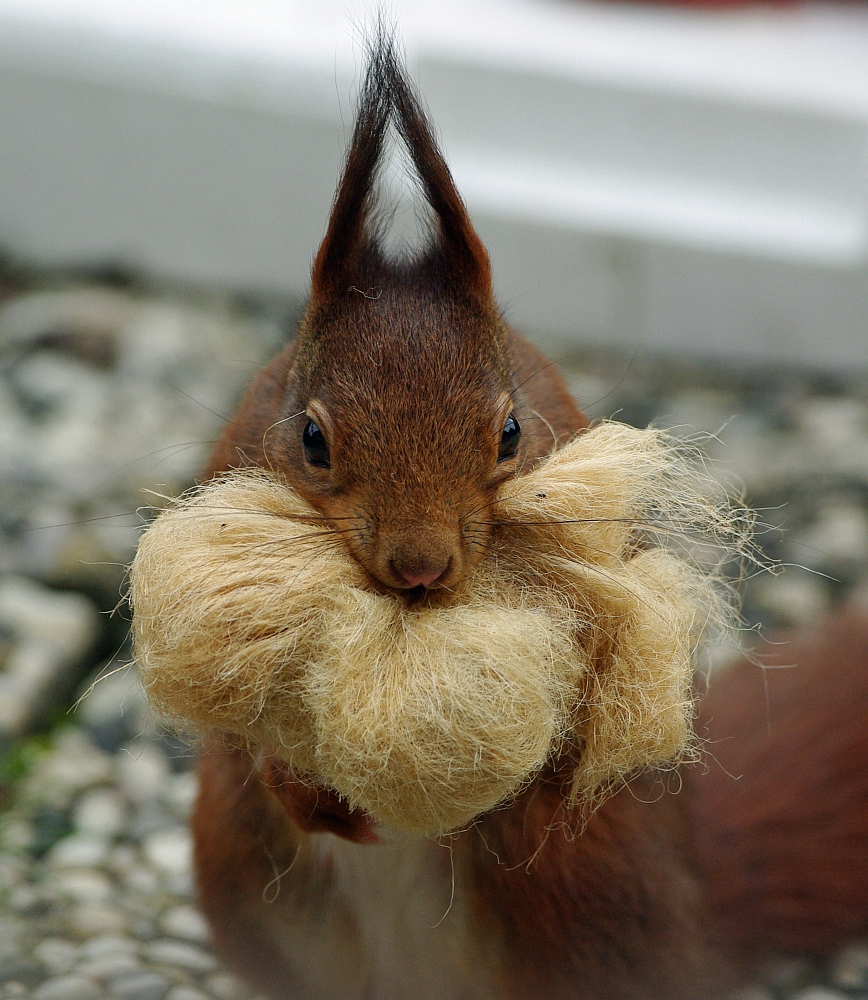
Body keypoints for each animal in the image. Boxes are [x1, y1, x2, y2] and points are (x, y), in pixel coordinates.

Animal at [190, 33, 868, 1000]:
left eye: (511, 432)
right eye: (311, 439)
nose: (421, 566)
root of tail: (696, 916)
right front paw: (297, 783)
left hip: (589, 905)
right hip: (238, 887)